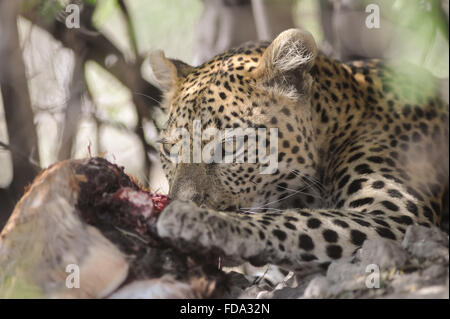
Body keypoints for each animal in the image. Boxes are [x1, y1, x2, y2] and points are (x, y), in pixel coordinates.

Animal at [147, 29, 446, 272]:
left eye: (229, 146)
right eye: (170, 149)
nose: (179, 202)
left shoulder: (396, 217)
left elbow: (288, 220)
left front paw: (195, 220)